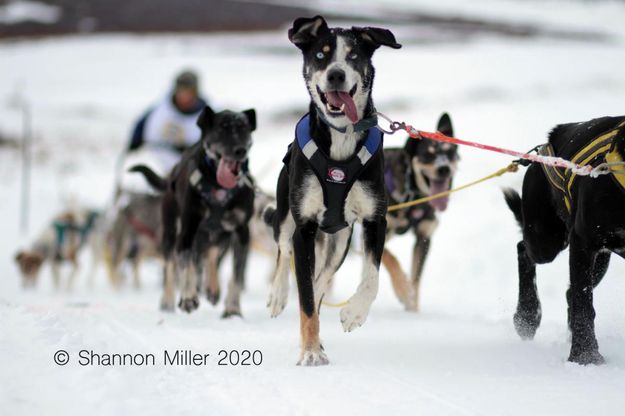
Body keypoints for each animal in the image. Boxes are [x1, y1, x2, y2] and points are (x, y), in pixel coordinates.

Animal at [132, 106, 256, 316]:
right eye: (222, 128)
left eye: (244, 128)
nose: (240, 150)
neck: (219, 189)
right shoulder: (188, 230)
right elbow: (184, 266)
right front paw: (188, 298)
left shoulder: (241, 233)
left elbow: (236, 276)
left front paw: (233, 308)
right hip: (171, 233)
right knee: (172, 264)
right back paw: (168, 301)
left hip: (221, 236)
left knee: (211, 254)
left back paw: (212, 288)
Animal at [262, 16, 400, 366]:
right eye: (321, 55)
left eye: (353, 55)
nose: (336, 74)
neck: (340, 138)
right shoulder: (304, 227)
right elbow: (307, 301)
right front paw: (310, 352)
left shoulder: (374, 219)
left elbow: (371, 276)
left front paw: (354, 313)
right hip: (286, 214)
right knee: (284, 252)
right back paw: (278, 295)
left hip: (340, 239)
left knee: (320, 279)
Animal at [380, 112, 458, 310]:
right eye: (427, 155)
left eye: (450, 153)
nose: (444, 168)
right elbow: (391, 258)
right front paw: (402, 288)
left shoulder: (424, 238)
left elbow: (416, 281)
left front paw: (412, 308)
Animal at [502, 114, 624, 364]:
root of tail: (545, 144)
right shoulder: (582, 242)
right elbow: (583, 303)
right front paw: (586, 356)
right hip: (545, 238)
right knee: (523, 249)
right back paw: (527, 315)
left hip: (602, 256)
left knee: (570, 292)